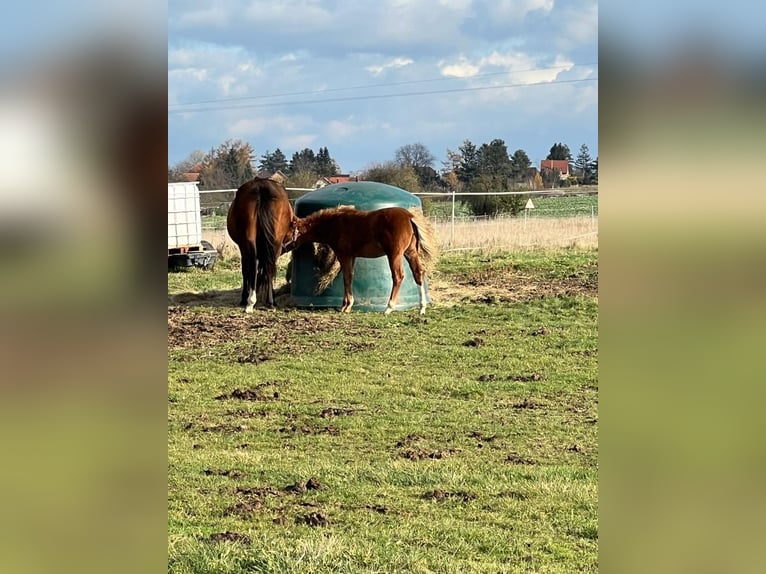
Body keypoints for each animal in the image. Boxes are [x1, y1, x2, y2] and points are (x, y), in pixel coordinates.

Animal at [226, 178, 296, 312]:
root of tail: (261, 187)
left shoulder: (242, 247)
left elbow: (246, 270)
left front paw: (244, 298)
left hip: (249, 240)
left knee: (254, 263)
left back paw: (250, 301)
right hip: (275, 242)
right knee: (270, 266)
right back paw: (270, 301)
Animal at [284, 207, 440, 316]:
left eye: (287, 233)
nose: (281, 247)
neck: (335, 224)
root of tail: (409, 216)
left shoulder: (344, 256)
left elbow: (347, 278)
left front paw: (346, 306)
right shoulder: (352, 257)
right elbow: (350, 277)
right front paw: (345, 305)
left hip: (395, 254)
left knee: (398, 276)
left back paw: (388, 308)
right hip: (410, 252)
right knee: (418, 273)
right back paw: (422, 308)